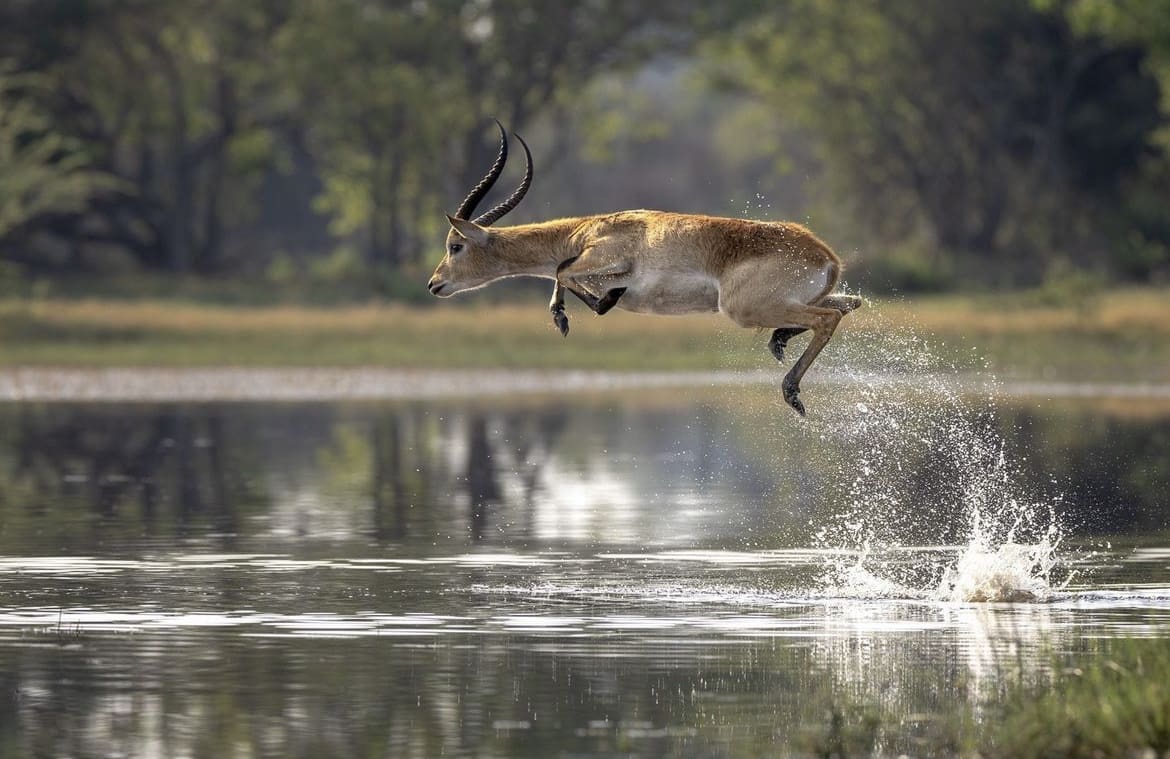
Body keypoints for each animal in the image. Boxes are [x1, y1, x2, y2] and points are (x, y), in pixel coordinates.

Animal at [430, 122, 861, 414]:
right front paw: (566, 315)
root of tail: (825, 255)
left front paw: (592, 306)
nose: (434, 284)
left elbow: (563, 270)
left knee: (826, 318)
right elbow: (561, 272)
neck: (582, 230)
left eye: (455, 246)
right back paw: (779, 344)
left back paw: (791, 392)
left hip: (743, 308)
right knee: (847, 305)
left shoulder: (607, 257)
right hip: (795, 301)